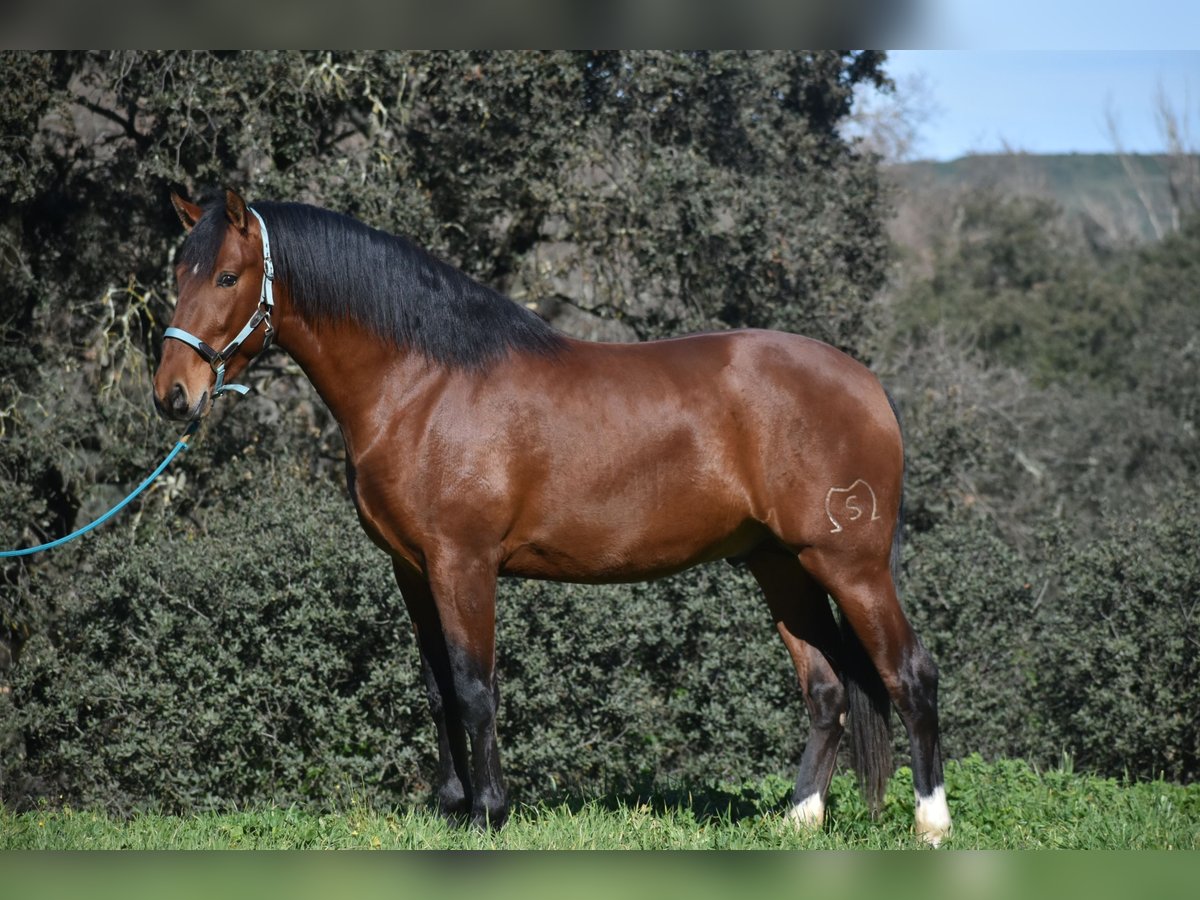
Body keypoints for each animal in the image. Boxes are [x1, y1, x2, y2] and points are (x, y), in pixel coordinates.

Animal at [152, 188, 945, 844]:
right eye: (177, 275)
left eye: (227, 278)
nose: (172, 394)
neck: (424, 385)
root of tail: (868, 384)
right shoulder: (412, 568)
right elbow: (438, 690)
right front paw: (451, 808)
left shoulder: (464, 563)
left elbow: (476, 688)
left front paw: (489, 813)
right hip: (781, 566)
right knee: (826, 687)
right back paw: (798, 820)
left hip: (852, 567)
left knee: (911, 675)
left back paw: (930, 824)